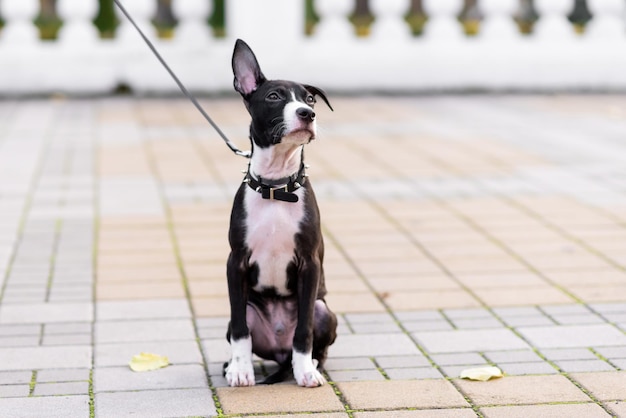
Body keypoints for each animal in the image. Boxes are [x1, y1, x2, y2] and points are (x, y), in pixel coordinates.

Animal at [223, 40, 336, 388]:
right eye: (274, 96)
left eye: (309, 99)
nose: (307, 114)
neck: (276, 188)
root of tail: (277, 351)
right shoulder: (236, 262)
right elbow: (241, 332)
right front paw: (241, 370)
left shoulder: (309, 264)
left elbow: (304, 331)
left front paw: (306, 371)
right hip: (246, 307)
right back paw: (232, 365)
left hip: (323, 309)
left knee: (315, 340)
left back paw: (308, 364)